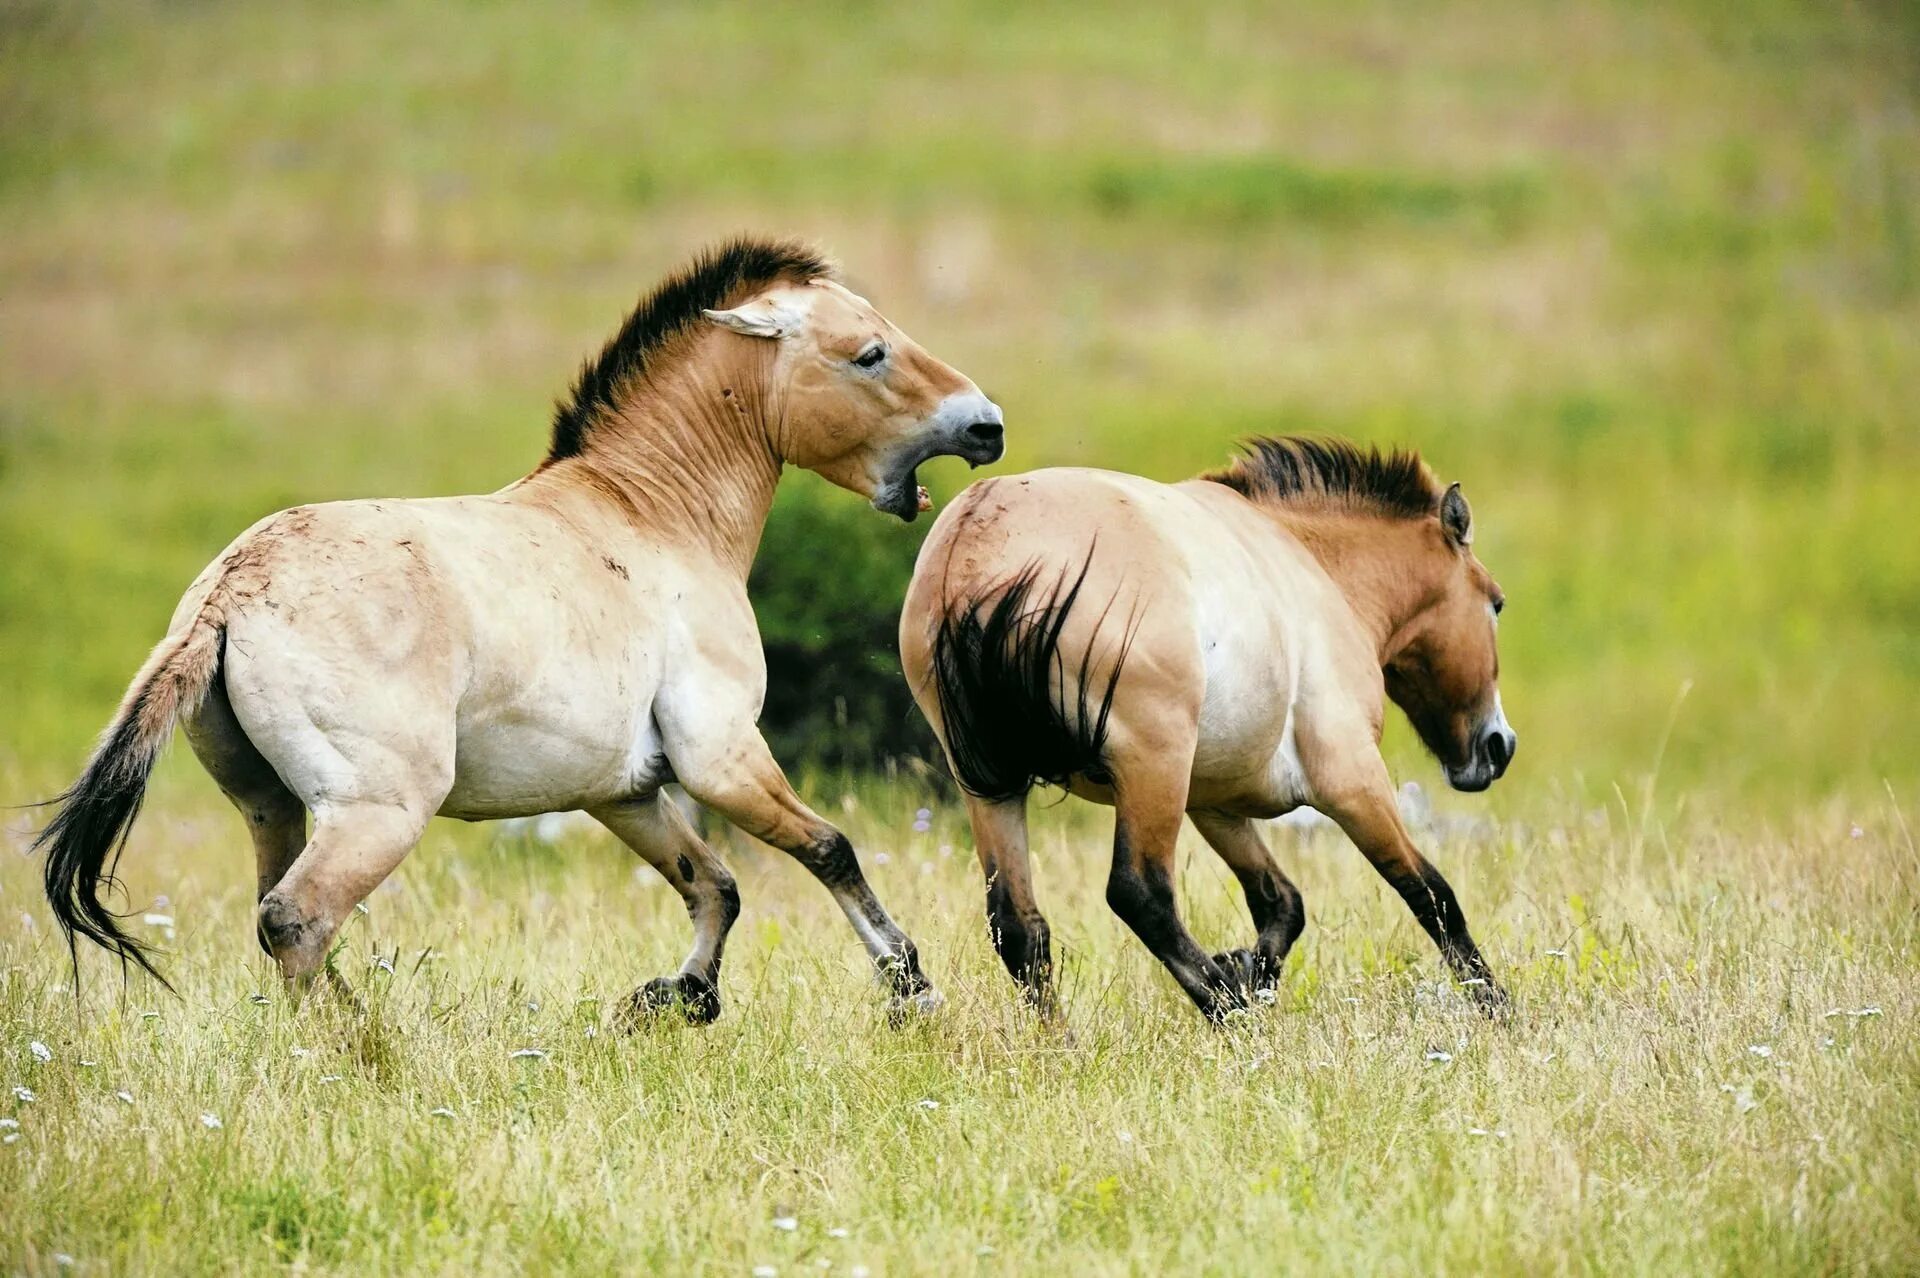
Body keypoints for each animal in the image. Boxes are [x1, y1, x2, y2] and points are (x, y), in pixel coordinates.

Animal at [41, 236, 1006, 1013]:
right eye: (870, 353)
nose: (985, 425)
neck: (650, 516)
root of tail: (228, 596)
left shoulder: (623, 789)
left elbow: (714, 885)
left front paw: (680, 998)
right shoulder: (723, 758)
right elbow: (828, 850)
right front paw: (910, 986)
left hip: (270, 806)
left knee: (278, 917)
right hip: (378, 811)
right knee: (298, 919)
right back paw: (365, 1050)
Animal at [898, 435, 1512, 1013]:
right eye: (1497, 603)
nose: (1498, 746)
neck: (1314, 569)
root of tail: (978, 550)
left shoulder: (1215, 802)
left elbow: (1281, 903)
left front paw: (1251, 969)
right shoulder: (1351, 781)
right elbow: (1430, 895)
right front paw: (1496, 1007)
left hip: (991, 787)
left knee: (1019, 927)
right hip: (1152, 771)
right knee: (1140, 895)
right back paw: (1226, 1009)